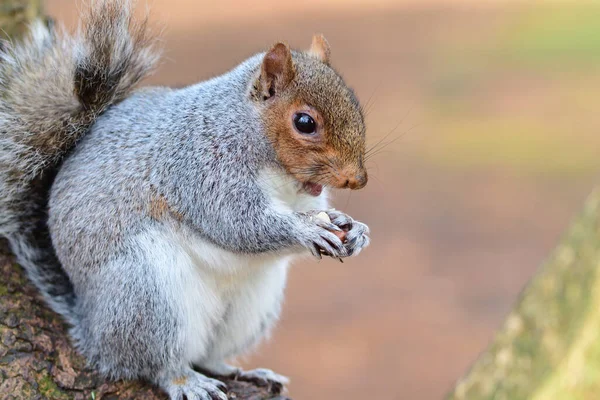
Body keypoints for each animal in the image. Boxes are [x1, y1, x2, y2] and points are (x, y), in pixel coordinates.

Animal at [0, 1, 370, 398]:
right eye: (304, 122)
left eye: (355, 104)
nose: (358, 179)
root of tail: (90, 327)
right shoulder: (200, 165)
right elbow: (238, 222)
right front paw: (306, 231)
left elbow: (310, 210)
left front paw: (352, 228)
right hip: (146, 296)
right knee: (153, 363)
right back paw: (184, 379)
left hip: (250, 306)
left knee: (209, 353)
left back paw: (242, 372)